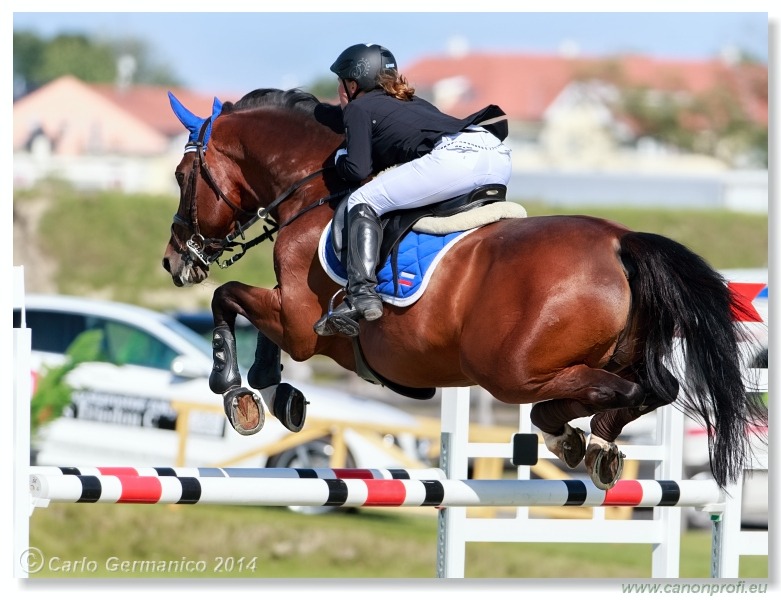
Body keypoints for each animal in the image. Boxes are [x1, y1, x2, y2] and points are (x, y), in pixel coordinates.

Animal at [161, 90, 764, 492]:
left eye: (181, 176)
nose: (174, 261)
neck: (312, 190)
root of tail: (622, 242)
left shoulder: (299, 321)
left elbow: (228, 298)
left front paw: (236, 392)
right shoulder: (292, 315)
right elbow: (251, 317)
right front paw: (276, 391)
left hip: (510, 369)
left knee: (613, 390)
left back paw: (567, 434)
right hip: (607, 354)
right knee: (657, 386)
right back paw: (587, 442)